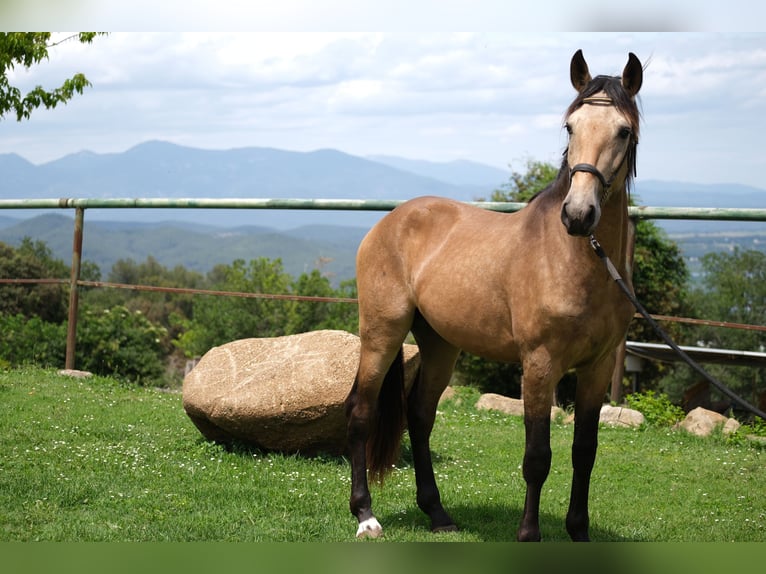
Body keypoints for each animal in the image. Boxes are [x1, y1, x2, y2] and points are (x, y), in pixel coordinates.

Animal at [346, 50, 640, 544]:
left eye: (623, 130)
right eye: (570, 127)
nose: (578, 214)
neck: (575, 261)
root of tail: (389, 222)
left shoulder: (597, 368)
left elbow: (585, 451)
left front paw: (578, 532)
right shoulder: (539, 365)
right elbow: (538, 456)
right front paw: (529, 534)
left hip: (440, 344)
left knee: (420, 416)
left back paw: (438, 514)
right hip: (382, 333)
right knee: (361, 412)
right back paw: (366, 515)